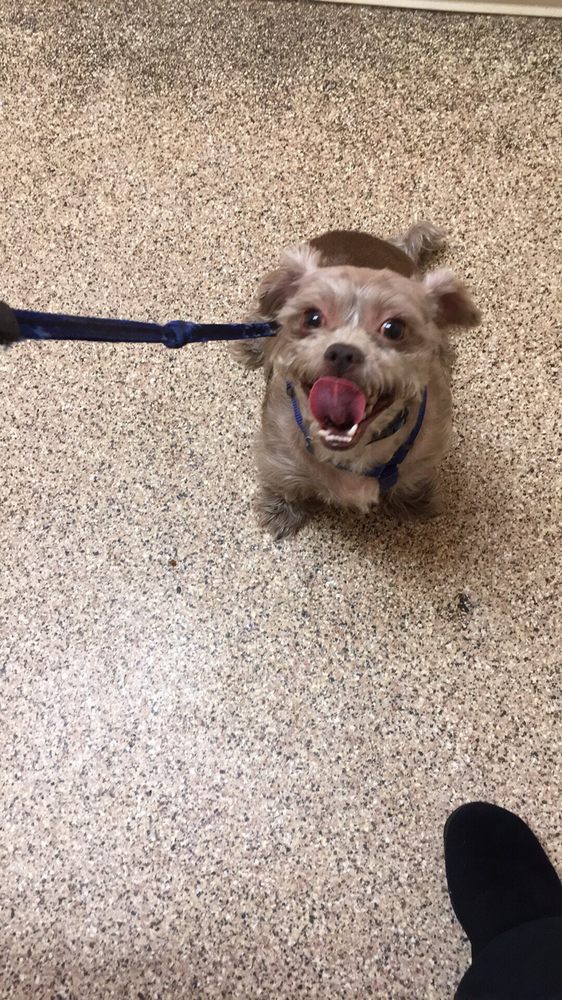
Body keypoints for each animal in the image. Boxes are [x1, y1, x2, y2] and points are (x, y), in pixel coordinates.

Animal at [234, 223, 480, 539]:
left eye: (394, 328)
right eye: (312, 318)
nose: (342, 352)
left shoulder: (426, 448)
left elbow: (412, 478)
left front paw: (416, 502)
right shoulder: (279, 451)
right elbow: (284, 481)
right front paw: (280, 512)